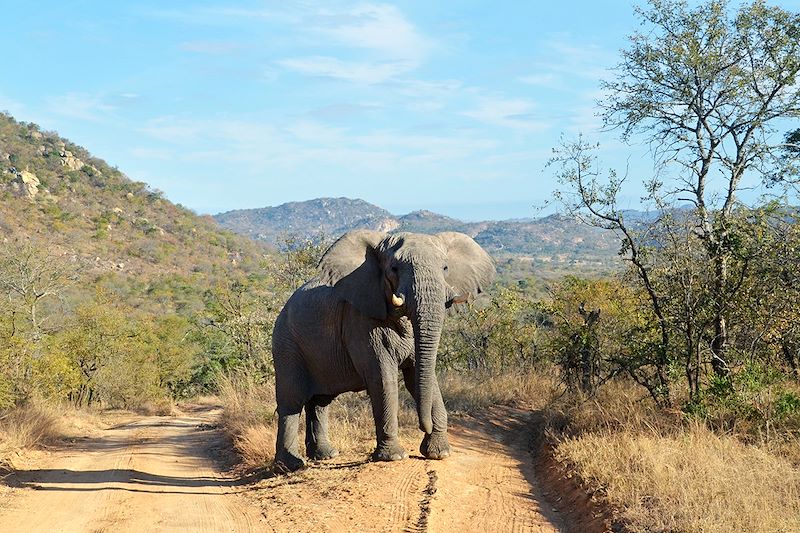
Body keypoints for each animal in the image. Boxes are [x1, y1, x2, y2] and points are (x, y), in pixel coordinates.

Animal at [272, 229, 494, 470]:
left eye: (445, 268)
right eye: (394, 269)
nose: (422, 426)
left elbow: (418, 376)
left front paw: (439, 453)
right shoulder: (360, 320)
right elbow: (383, 378)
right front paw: (394, 457)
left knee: (321, 400)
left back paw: (325, 455)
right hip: (286, 344)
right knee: (292, 400)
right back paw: (291, 465)